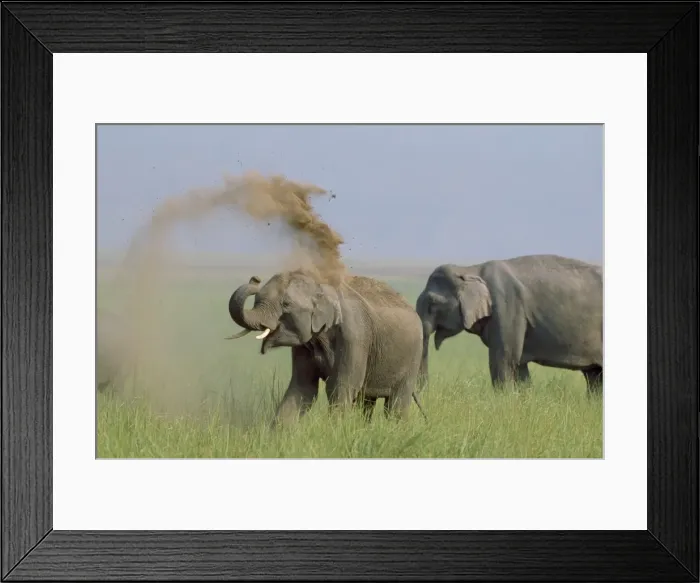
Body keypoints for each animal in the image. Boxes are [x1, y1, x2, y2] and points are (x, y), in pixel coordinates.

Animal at [226, 269, 427, 427]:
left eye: (286, 304)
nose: (255, 279)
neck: (320, 286)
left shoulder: (355, 336)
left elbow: (341, 387)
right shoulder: (305, 344)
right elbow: (302, 387)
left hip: (413, 356)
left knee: (396, 404)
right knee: (367, 402)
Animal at [415, 254, 603, 393]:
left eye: (432, 303)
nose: (426, 393)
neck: (470, 269)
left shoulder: (507, 306)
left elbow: (504, 360)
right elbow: (519, 365)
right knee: (594, 377)